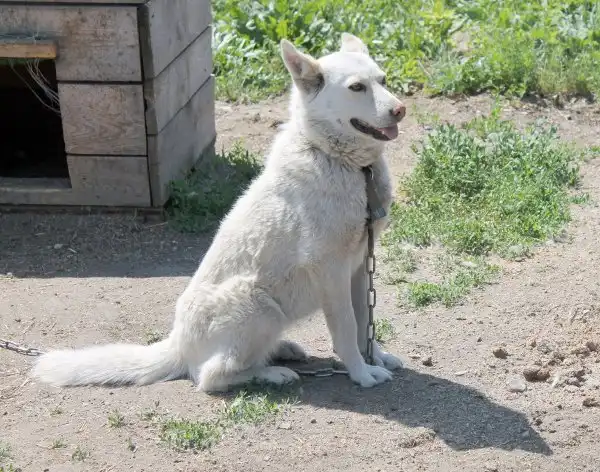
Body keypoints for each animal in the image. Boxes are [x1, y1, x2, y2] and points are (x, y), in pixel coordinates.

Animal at [32, 33, 407, 392]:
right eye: (357, 87)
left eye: (383, 80)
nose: (400, 110)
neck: (349, 165)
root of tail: (178, 346)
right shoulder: (330, 270)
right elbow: (346, 329)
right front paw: (361, 373)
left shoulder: (358, 265)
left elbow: (364, 322)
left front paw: (376, 357)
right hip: (259, 305)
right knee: (209, 377)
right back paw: (271, 374)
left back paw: (282, 350)